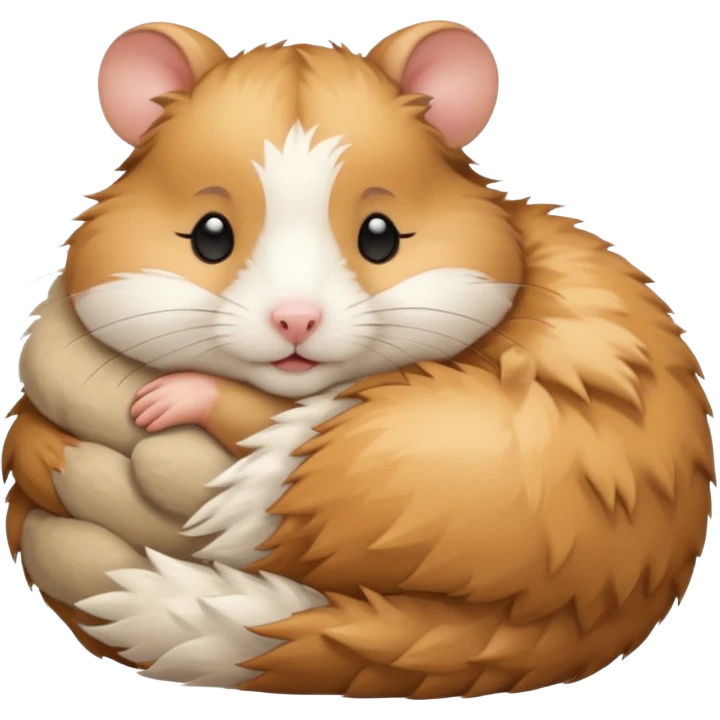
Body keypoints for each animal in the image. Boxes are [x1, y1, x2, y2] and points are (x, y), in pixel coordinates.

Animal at [4, 20, 714, 699]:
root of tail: (613, 593)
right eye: (210, 236)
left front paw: (183, 397)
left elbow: (253, 415)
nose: (296, 319)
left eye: (381, 237)